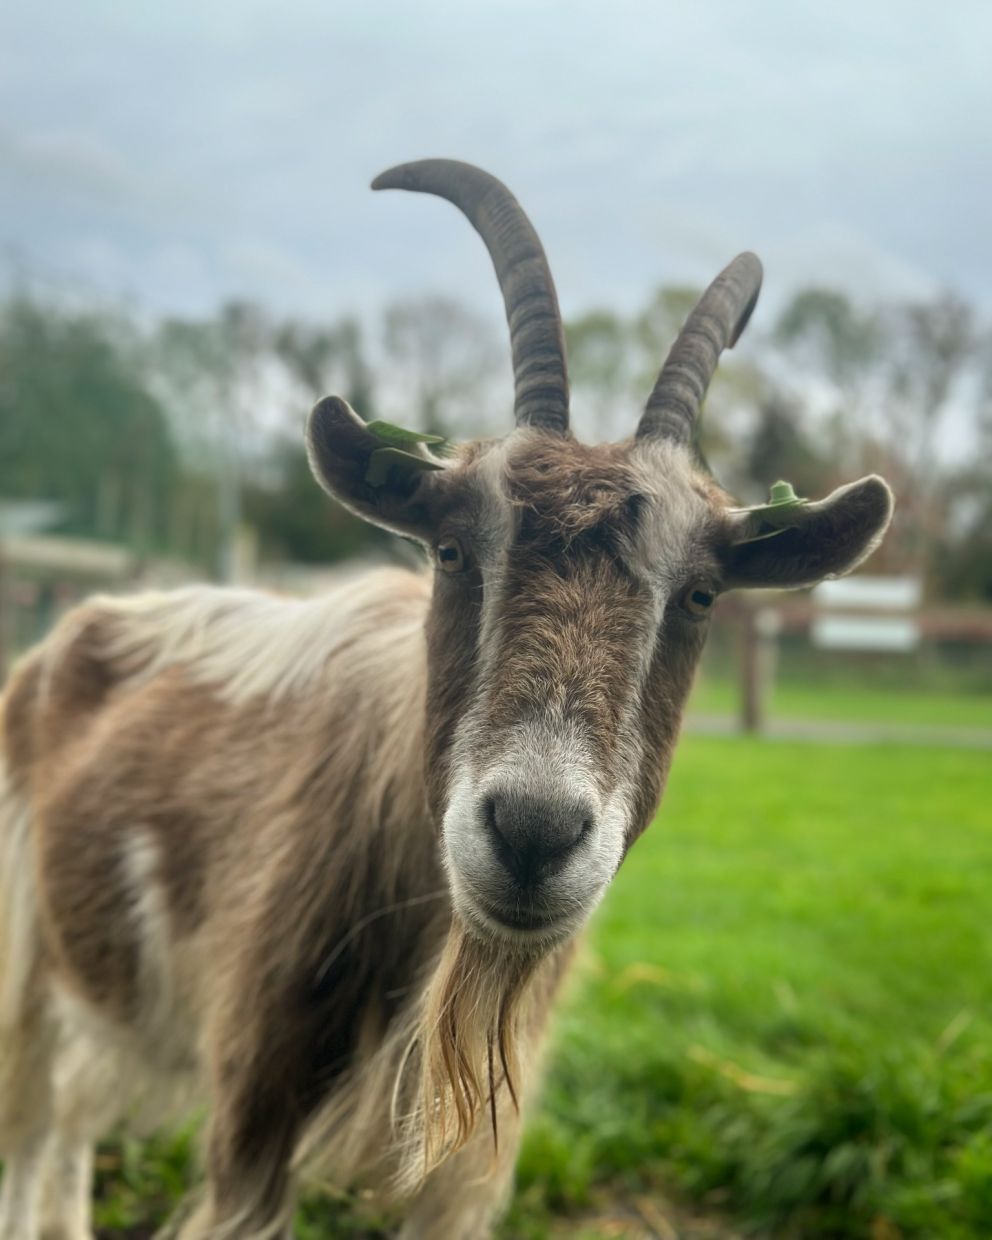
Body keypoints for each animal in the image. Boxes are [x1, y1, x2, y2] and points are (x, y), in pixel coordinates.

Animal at [0, 159, 893, 1239]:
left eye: (699, 595)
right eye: (453, 550)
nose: (532, 832)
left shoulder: (462, 1176)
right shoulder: (255, 1116)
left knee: (69, 1119)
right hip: (26, 953)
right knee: (31, 1123)